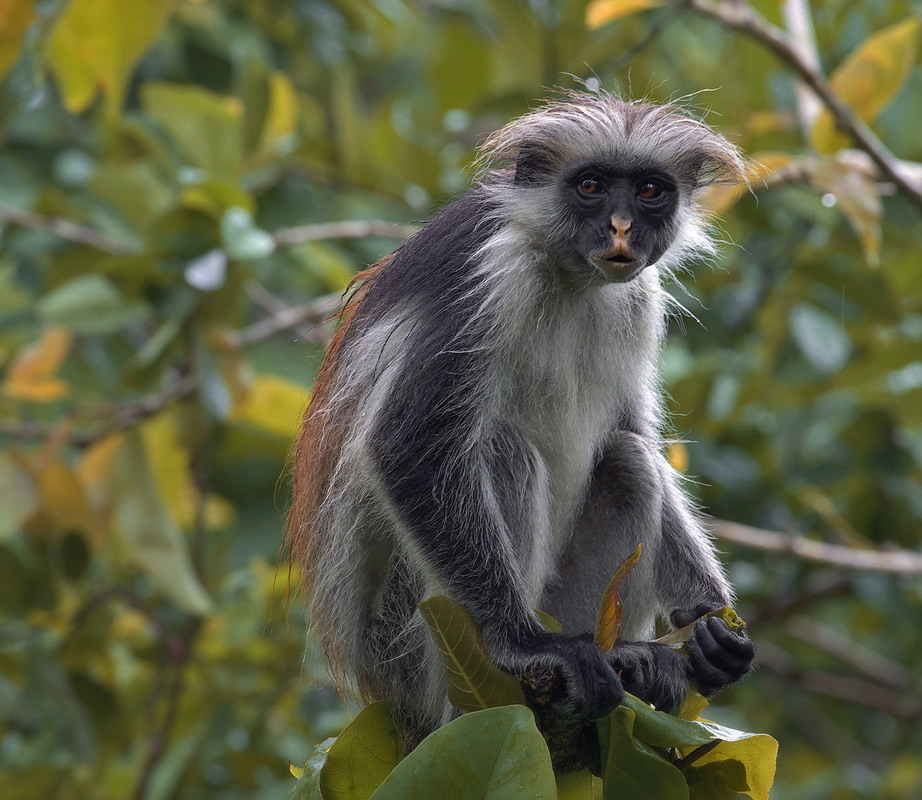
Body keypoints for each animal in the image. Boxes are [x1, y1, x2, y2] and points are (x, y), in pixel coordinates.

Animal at [288, 92, 756, 752]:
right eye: (589, 186)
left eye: (649, 191)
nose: (620, 228)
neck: (568, 274)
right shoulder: (490, 276)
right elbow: (406, 446)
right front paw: (526, 643)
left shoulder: (640, 296)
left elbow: (637, 434)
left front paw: (707, 618)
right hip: (407, 637)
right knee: (500, 453)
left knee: (629, 460)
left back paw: (635, 661)